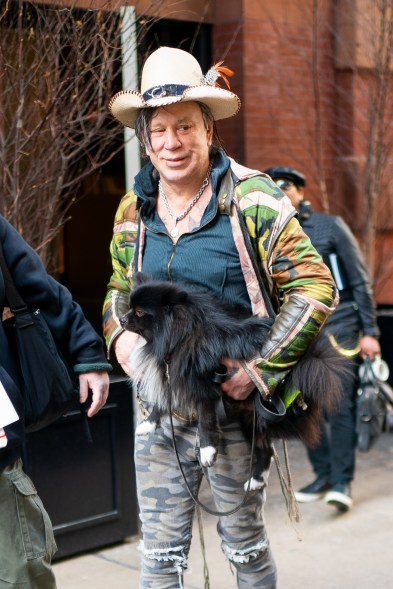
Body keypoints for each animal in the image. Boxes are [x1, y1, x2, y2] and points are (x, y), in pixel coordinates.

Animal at [121, 274, 342, 490]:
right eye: (130, 307)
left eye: (139, 312)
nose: (122, 319)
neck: (181, 334)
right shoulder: (173, 375)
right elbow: (162, 400)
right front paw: (148, 423)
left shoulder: (203, 385)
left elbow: (206, 420)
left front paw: (207, 450)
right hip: (250, 422)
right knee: (265, 449)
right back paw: (256, 480)